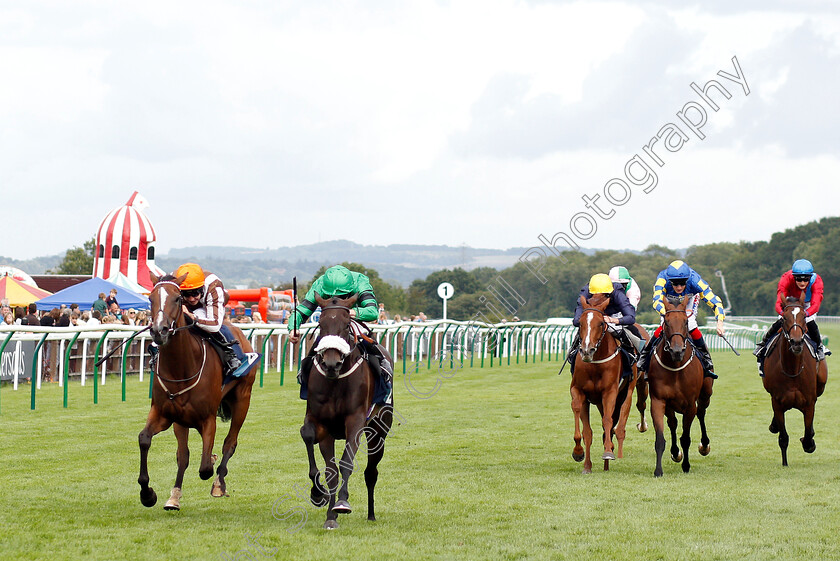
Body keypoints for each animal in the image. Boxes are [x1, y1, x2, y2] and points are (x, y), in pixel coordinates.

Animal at [138, 274, 258, 510]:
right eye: (150, 299)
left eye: (177, 299)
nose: (159, 330)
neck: (181, 367)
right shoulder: (167, 415)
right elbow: (148, 441)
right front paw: (149, 494)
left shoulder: (208, 418)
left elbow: (204, 467)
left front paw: (211, 463)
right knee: (184, 455)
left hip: (243, 399)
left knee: (230, 443)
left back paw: (219, 483)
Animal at [568, 294, 640, 472]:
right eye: (580, 322)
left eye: (601, 323)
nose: (587, 350)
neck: (595, 364)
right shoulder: (578, 390)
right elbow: (585, 428)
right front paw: (580, 456)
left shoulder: (609, 392)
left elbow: (608, 420)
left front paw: (608, 451)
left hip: (627, 391)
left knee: (617, 417)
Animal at [648, 296, 712, 474]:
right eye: (666, 322)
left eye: (685, 321)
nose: (677, 351)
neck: (675, 367)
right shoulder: (658, 401)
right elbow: (660, 438)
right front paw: (658, 471)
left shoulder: (690, 405)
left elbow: (686, 438)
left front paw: (686, 466)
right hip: (670, 406)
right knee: (673, 423)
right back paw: (675, 452)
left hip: (706, 394)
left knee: (701, 413)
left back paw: (704, 445)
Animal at [760, 294, 828, 464]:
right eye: (784, 318)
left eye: (804, 316)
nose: (796, 342)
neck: (793, 370)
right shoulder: (777, 403)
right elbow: (783, 437)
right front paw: (785, 463)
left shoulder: (809, 403)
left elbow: (809, 438)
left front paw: (808, 441)